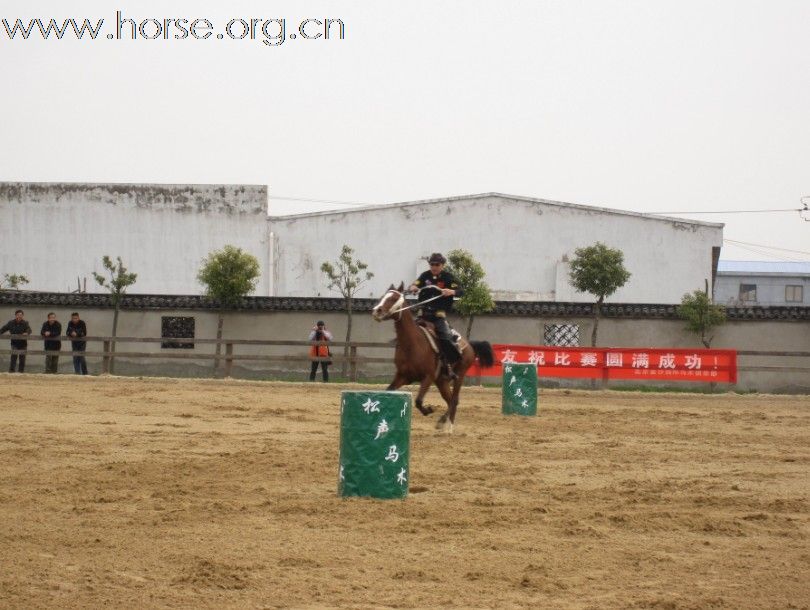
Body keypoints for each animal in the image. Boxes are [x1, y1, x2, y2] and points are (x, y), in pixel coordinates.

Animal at [370, 282, 496, 430]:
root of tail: (469, 345)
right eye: (383, 296)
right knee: (450, 400)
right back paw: (443, 422)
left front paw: (428, 410)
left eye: (393, 298)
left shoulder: (428, 376)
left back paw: (448, 425)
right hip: (441, 380)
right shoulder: (403, 376)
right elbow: (389, 390)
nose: (376, 311)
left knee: (454, 399)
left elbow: (418, 401)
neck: (413, 343)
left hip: (459, 373)